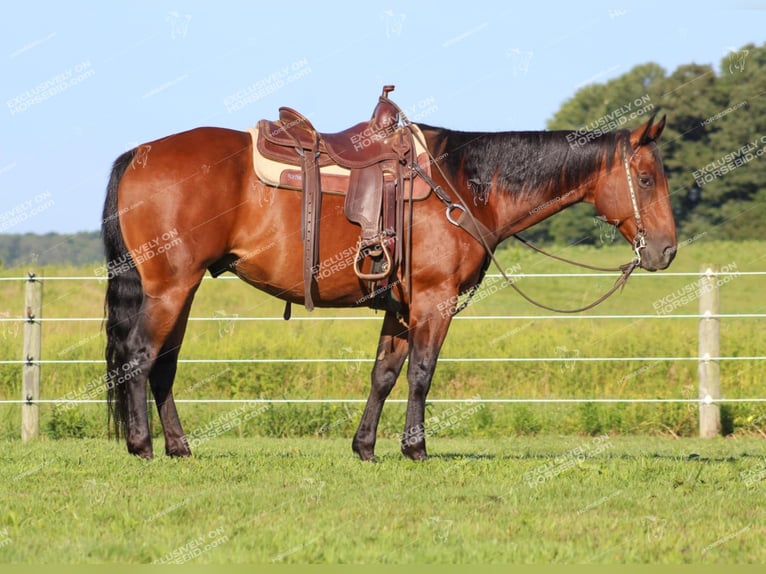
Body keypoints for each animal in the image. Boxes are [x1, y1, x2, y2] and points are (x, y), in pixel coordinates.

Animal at [102, 106, 680, 462]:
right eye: (646, 178)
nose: (667, 250)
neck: (461, 183)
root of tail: (140, 153)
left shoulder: (400, 309)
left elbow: (384, 374)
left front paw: (365, 446)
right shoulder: (433, 300)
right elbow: (421, 373)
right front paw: (414, 448)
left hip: (182, 290)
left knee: (163, 365)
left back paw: (178, 446)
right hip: (171, 287)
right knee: (139, 356)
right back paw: (142, 445)